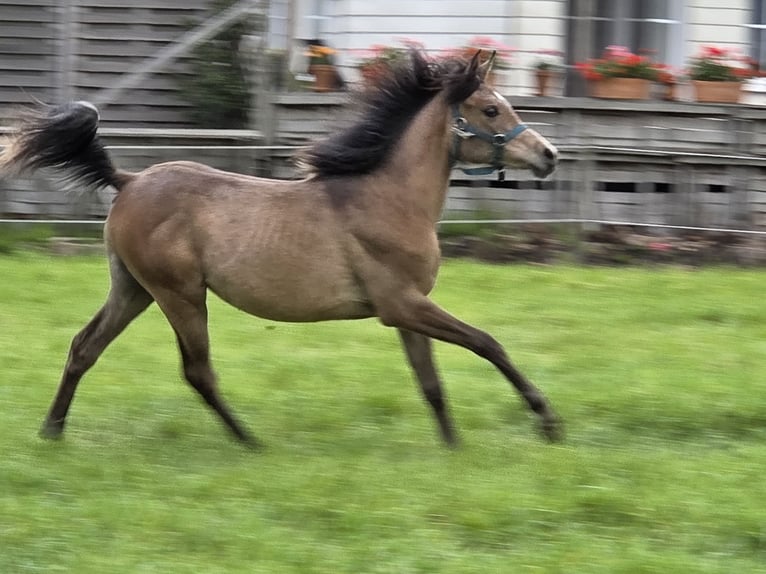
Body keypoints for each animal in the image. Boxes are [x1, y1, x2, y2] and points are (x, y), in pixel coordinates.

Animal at [0, 51, 561, 448]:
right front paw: (548, 421)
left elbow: (432, 383)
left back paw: (52, 430)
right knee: (197, 371)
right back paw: (251, 442)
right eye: (490, 108)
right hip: (180, 294)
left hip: (134, 289)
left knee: (84, 347)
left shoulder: (407, 308)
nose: (549, 155)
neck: (388, 197)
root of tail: (129, 179)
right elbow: (488, 342)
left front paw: (452, 448)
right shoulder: (401, 303)